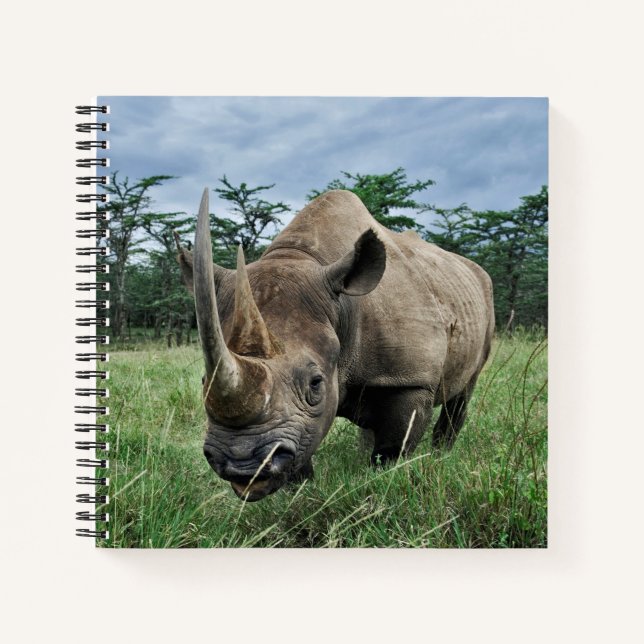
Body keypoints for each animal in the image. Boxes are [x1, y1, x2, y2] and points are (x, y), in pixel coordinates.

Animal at [176, 188, 494, 501]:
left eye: (315, 383)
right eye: (203, 381)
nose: (242, 465)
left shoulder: (410, 380)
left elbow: (392, 449)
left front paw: (382, 482)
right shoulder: (303, 420)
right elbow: (304, 449)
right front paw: (302, 493)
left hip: (482, 295)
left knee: (464, 391)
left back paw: (441, 456)